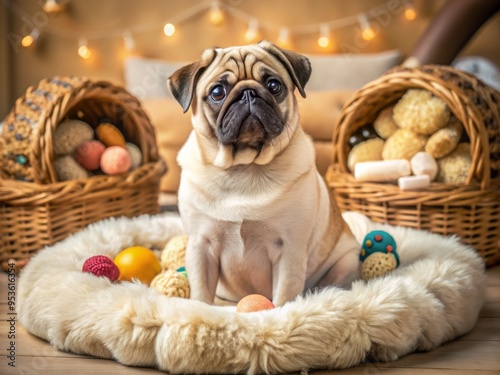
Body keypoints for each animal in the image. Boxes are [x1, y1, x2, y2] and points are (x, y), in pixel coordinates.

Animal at [168, 41, 360, 306]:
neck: (244, 166)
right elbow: (201, 294)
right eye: (217, 92)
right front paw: (201, 310)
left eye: (273, 85)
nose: (248, 93)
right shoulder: (200, 246)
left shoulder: (290, 249)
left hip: (347, 260)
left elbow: (284, 295)